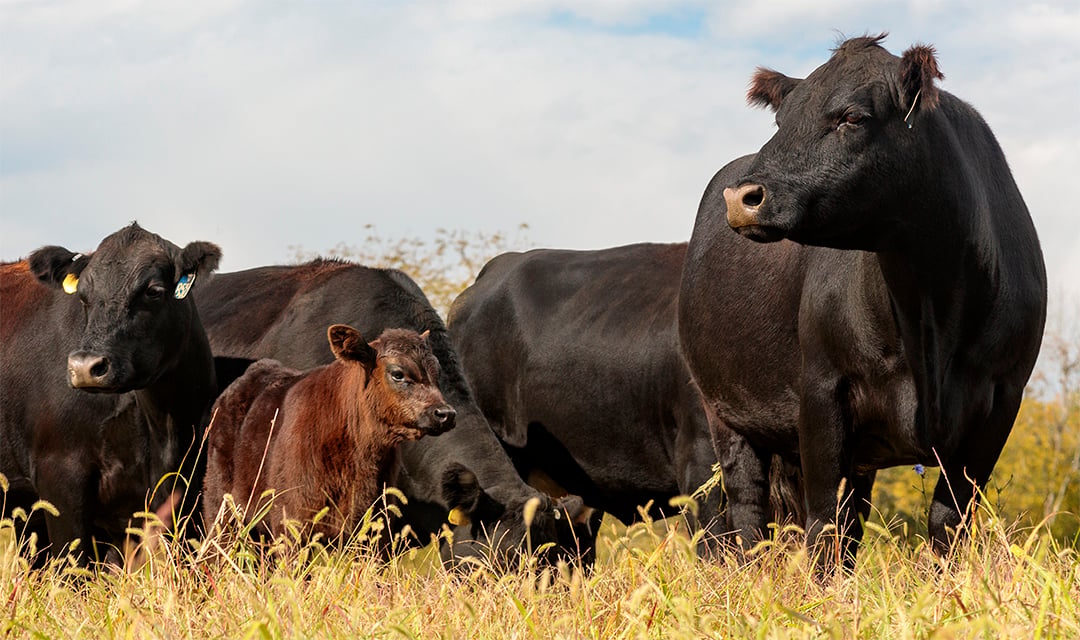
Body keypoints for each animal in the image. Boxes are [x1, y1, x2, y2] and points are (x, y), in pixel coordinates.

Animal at [202, 325, 455, 543]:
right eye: (398, 373)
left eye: (437, 371)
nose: (445, 413)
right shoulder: (291, 521)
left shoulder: (375, 527)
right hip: (220, 511)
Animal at [678, 35, 1047, 570]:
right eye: (780, 120)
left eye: (852, 116)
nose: (742, 196)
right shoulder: (821, 388)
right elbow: (823, 521)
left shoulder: (1002, 400)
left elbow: (948, 520)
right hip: (722, 412)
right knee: (747, 509)